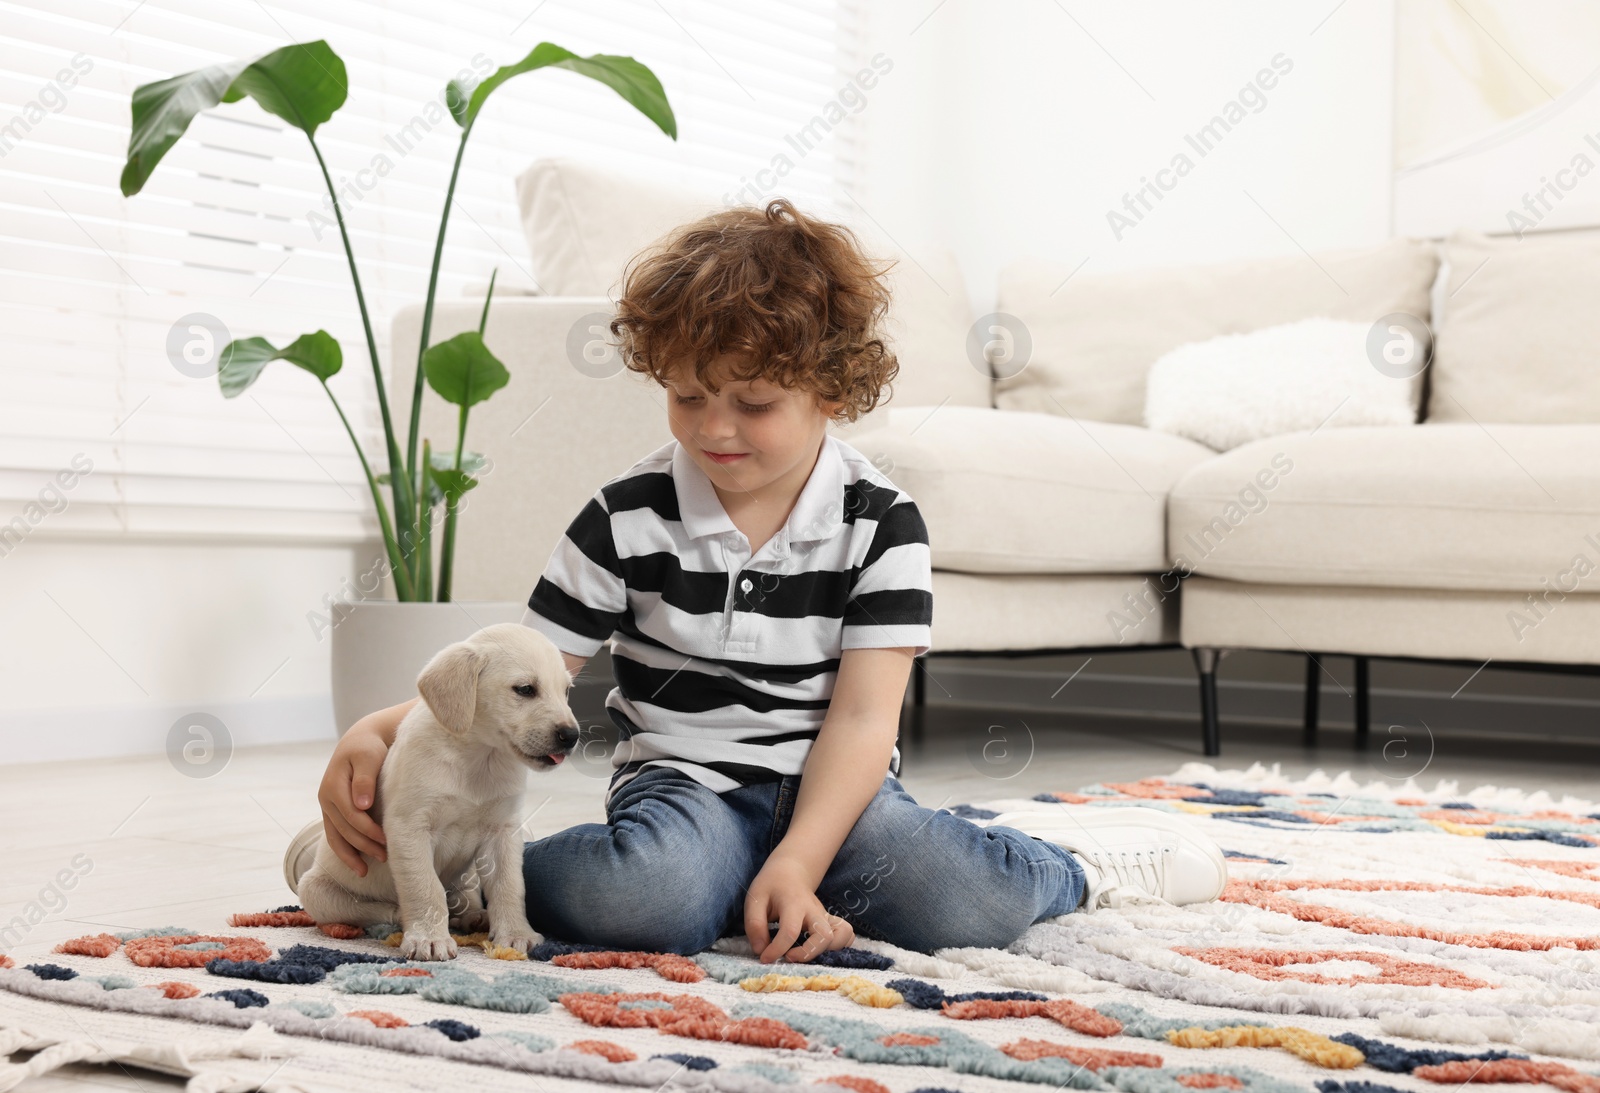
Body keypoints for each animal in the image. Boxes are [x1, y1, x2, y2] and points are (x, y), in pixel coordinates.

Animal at [297, 620, 579, 960]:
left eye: (566, 691)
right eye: (525, 689)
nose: (572, 736)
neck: (479, 757)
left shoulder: (503, 832)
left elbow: (510, 885)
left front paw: (515, 933)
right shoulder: (410, 828)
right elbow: (425, 887)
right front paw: (428, 938)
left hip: (468, 873)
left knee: (465, 895)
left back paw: (474, 916)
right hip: (315, 891)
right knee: (372, 909)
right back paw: (398, 917)